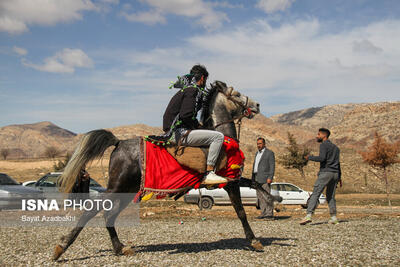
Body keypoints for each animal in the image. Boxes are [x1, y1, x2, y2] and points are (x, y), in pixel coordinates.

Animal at [54, 80, 276, 260]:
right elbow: (241, 211)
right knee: (93, 210)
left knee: (109, 215)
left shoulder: (234, 179)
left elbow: (255, 183)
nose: (257, 105)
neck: (223, 136)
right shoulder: (230, 182)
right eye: (236, 94)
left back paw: (120, 248)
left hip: (128, 190)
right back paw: (61, 247)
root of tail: (119, 143)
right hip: (117, 186)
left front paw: (274, 199)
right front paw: (254, 241)